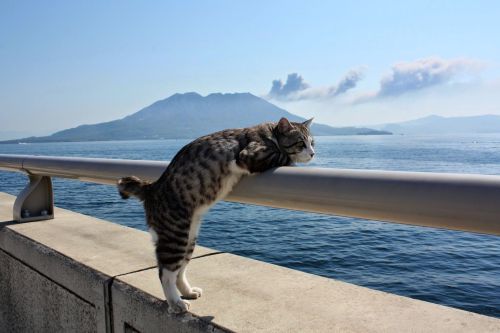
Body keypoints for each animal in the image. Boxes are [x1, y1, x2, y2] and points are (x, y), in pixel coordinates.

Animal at [117, 116, 314, 312]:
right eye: (300, 143)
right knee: (165, 273)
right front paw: (292, 159)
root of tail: (152, 188)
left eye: (312, 142)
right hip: (174, 234)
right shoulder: (249, 154)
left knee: (179, 270)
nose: (313, 153)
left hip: (190, 237)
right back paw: (175, 302)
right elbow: (283, 155)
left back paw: (188, 291)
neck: (269, 133)